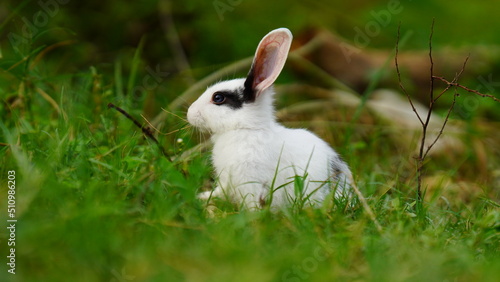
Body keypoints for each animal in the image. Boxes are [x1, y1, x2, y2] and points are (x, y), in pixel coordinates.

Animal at [187, 28, 352, 209]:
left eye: (218, 98)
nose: (189, 113)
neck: (245, 128)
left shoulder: (251, 181)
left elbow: (251, 201)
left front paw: (251, 214)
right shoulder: (226, 180)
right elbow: (220, 191)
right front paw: (203, 196)